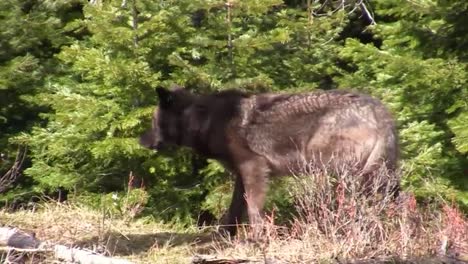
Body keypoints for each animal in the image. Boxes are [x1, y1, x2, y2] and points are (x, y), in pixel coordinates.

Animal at [139, 86, 398, 235]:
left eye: (152, 122)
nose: (140, 141)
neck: (207, 120)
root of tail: (380, 111)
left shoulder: (254, 168)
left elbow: (253, 210)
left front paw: (258, 239)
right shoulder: (241, 175)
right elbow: (235, 210)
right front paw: (226, 236)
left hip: (340, 172)